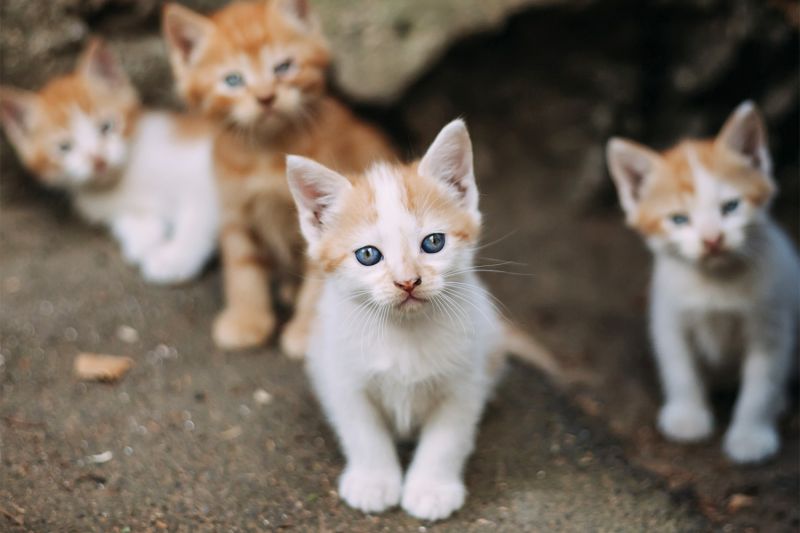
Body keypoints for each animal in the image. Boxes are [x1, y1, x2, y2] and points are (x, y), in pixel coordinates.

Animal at [0, 39, 219, 284]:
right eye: (65, 147)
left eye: (106, 126)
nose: (98, 159)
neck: (121, 179)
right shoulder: (107, 206)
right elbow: (130, 219)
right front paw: (144, 241)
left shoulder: (207, 168)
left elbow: (198, 217)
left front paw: (174, 258)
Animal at [162, 0, 394, 356]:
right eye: (233, 80)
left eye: (283, 67)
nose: (266, 97)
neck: (266, 155)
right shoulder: (235, 210)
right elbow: (242, 268)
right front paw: (247, 320)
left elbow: (319, 281)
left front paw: (307, 334)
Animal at [286, 119, 556, 520]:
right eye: (368, 255)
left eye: (433, 243)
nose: (408, 281)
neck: (405, 332)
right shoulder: (343, 375)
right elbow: (363, 432)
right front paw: (373, 481)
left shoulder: (464, 380)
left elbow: (448, 438)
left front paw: (431, 489)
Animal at [608, 102, 800, 464]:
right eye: (679, 219)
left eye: (731, 207)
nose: (712, 240)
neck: (716, 281)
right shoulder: (668, 316)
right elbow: (679, 367)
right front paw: (688, 417)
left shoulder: (772, 323)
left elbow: (762, 384)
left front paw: (750, 437)